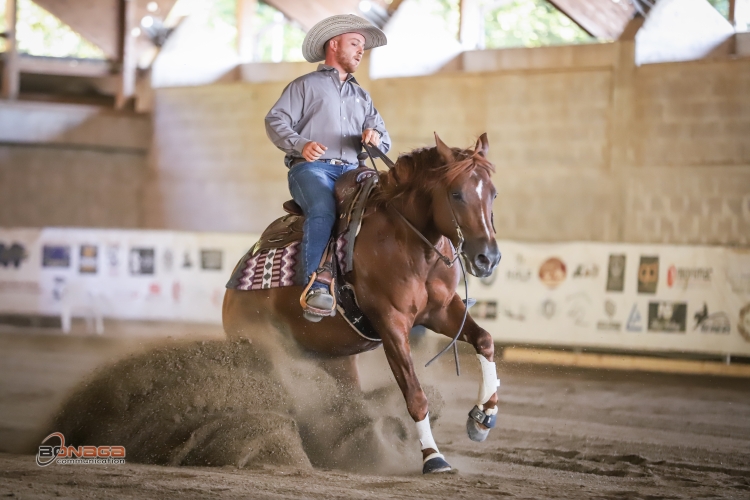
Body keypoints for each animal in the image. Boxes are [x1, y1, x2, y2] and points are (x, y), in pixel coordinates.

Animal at [225, 132, 506, 472]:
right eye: (456, 194)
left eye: (492, 193)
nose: (487, 258)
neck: (409, 243)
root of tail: (232, 286)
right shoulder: (391, 323)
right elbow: (415, 394)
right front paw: (433, 457)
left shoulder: (441, 311)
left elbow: (484, 340)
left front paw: (483, 418)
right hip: (260, 349)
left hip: (336, 359)